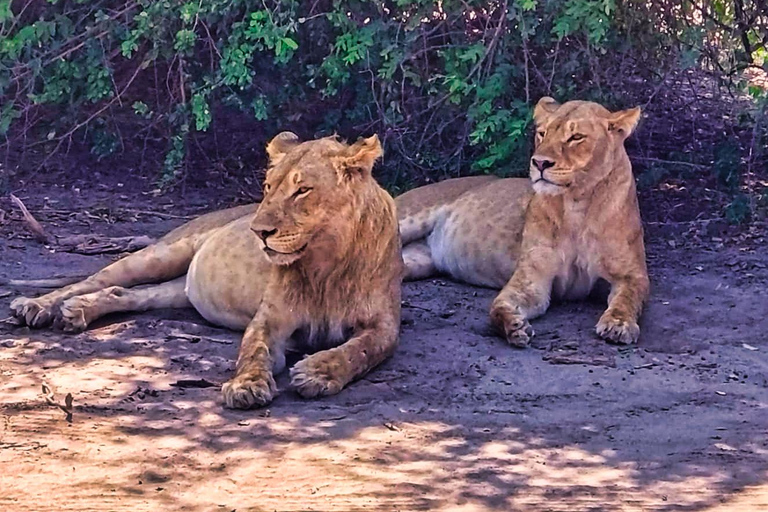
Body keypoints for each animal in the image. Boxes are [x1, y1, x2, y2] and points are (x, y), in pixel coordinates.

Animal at [10, 134, 402, 410]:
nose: (258, 231)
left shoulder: (384, 325)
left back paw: (76, 312)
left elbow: (362, 350)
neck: (326, 264)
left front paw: (318, 371)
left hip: (179, 290)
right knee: (100, 279)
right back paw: (37, 307)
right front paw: (246, 386)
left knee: (127, 294)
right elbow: (254, 351)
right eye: (268, 188)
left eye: (303, 190)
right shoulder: (269, 320)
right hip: (164, 253)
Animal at [400, 98, 652, 346]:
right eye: (542, 133)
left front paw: (618, 325)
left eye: (576, 137)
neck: (577, 206)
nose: (539, 163)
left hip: (415, 262)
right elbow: (499, 306)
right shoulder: (532, 277)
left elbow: (627, 298)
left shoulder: (632, 275)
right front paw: (514, 325)